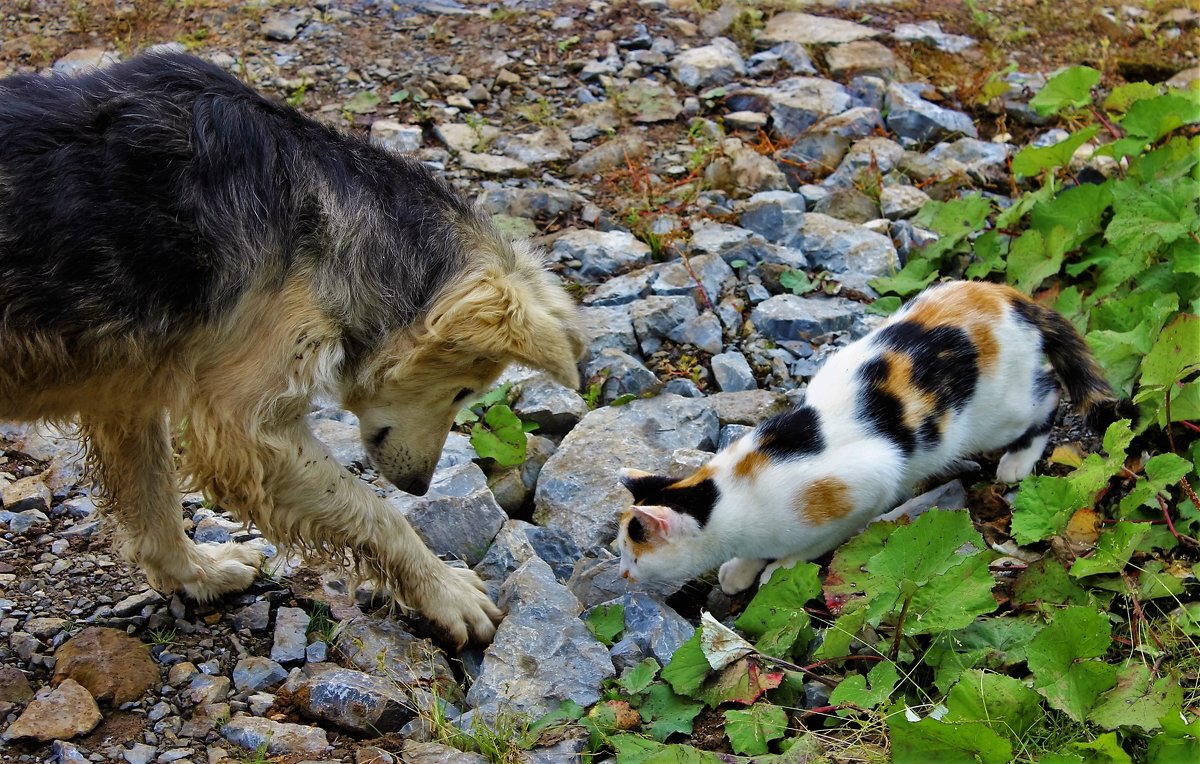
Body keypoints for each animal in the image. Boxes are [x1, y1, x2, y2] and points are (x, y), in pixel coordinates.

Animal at [0, 52, 580, 642]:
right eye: (464, 390)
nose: (420, 487)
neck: (323, 214)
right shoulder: (246, 432)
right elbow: (376, 512)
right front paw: (443, 591)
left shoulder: (128, 388)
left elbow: (155, 500)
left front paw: (195, 575)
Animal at [619, 277, 1132, 592]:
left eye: (634, 556)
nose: (623, 576)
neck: (730, 493)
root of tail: (1006, 296)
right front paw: (741, 570)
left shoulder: (865, 485)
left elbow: (817, 541)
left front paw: (779, 568)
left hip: (998, 413)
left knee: (1047, 394)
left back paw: (1018, 461)